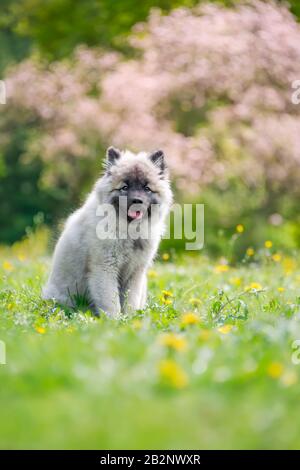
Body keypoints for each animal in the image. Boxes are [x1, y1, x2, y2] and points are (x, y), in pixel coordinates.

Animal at [43, 147, 172, 316]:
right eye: (124, 187)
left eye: (147, 188)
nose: (137, 201)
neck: (129, 230)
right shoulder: (105, 268)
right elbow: (111, 301)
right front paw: (114, 319)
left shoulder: (135, 272)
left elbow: (131, 300)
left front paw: (131, 318)